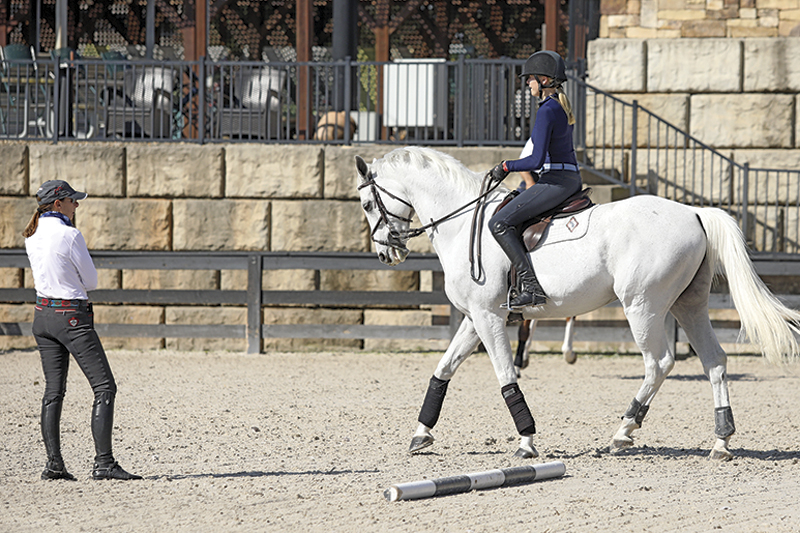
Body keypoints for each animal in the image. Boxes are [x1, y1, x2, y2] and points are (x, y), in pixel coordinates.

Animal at [355, 146, 800, 461]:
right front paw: (421, 433)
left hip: (643, 307)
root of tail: (693, 212)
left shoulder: (488, 317)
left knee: (659, 363)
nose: (386, 253)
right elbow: (443, 370)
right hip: (687, 306)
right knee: (714, 361)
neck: (463, 222)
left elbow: (505, 377)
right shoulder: (475, 317)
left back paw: (624, 430)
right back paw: (721, 441)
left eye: (367, 204)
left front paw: (526, 440)